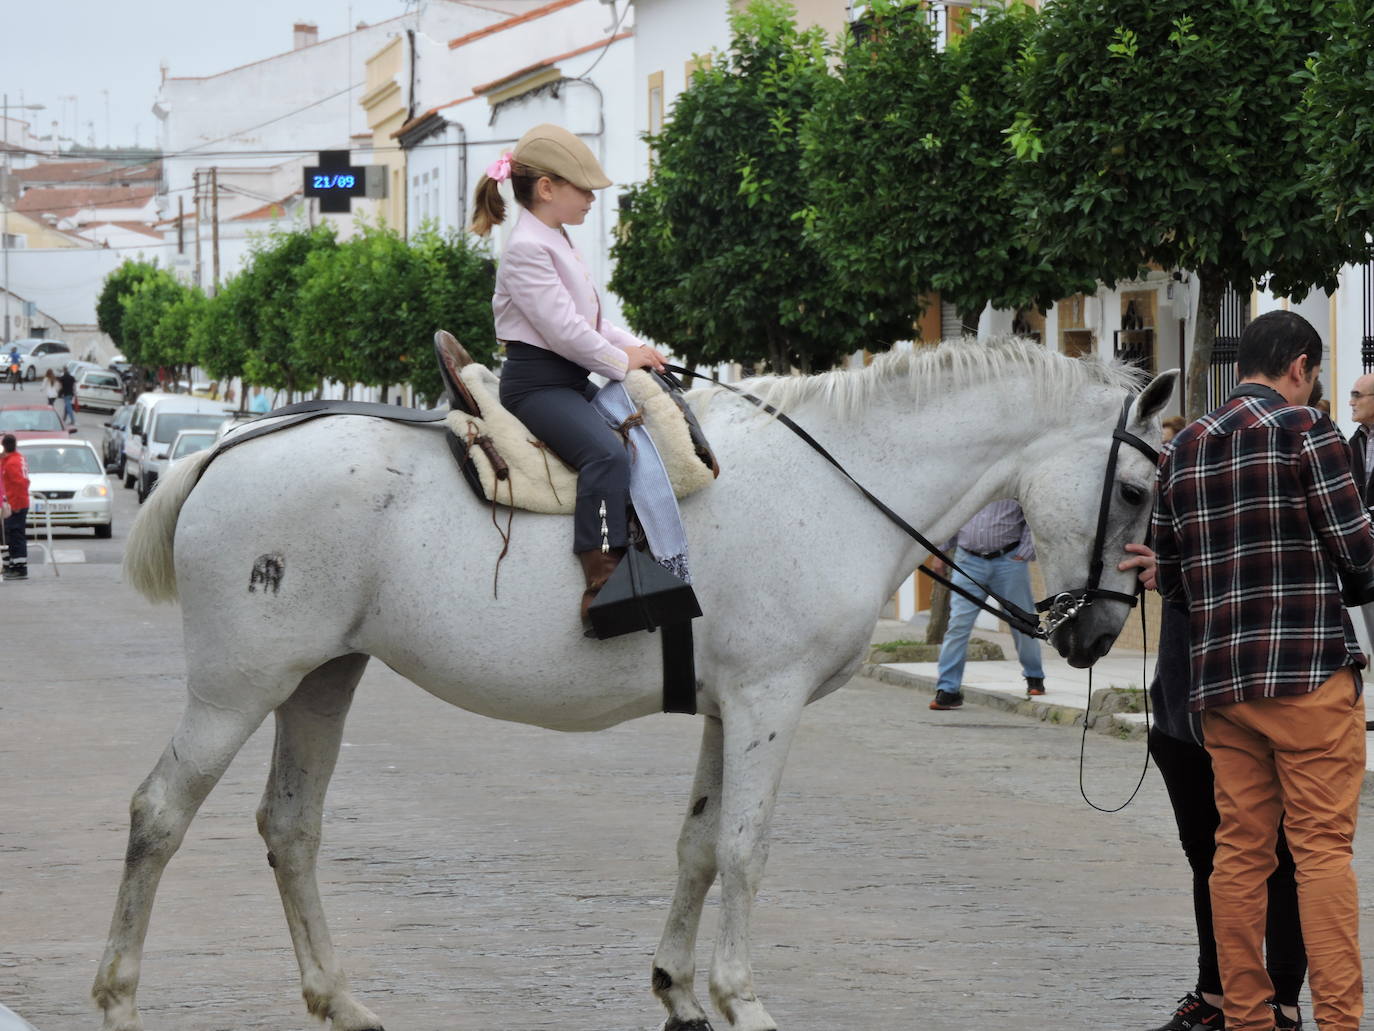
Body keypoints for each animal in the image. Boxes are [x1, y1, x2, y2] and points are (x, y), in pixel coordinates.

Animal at [94, 337, 1175, 1031]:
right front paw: (742, 999)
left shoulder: (727, 708)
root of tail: (225, 449)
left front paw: (680, 990)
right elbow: (743, 849)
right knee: (157, 814)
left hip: (321, 678)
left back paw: (338, 997)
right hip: (239, 687)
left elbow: (698, 845)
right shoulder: (768, 704)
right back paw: (119, 997)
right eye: (1134, 489)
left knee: (290, 827)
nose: (1102, 631)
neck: (836, 482)